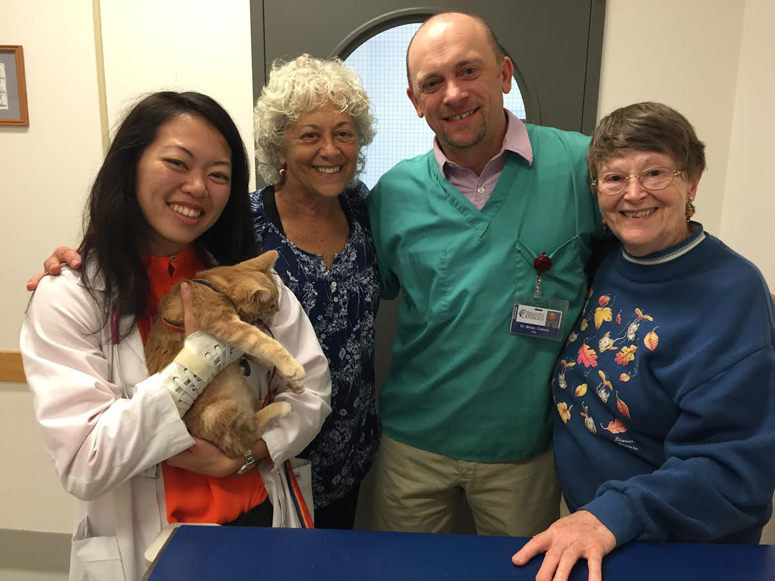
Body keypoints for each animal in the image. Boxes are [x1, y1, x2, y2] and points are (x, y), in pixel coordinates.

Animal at [146, 249, 306, 458]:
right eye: (272, 305)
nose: (279, 309)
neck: (213, 286)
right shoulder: (228, 325)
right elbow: (264, 342)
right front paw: (292, 367)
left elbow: (263, 356)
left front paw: (293, 381)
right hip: (217, 412)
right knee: (249, 432)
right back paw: (279, 407)